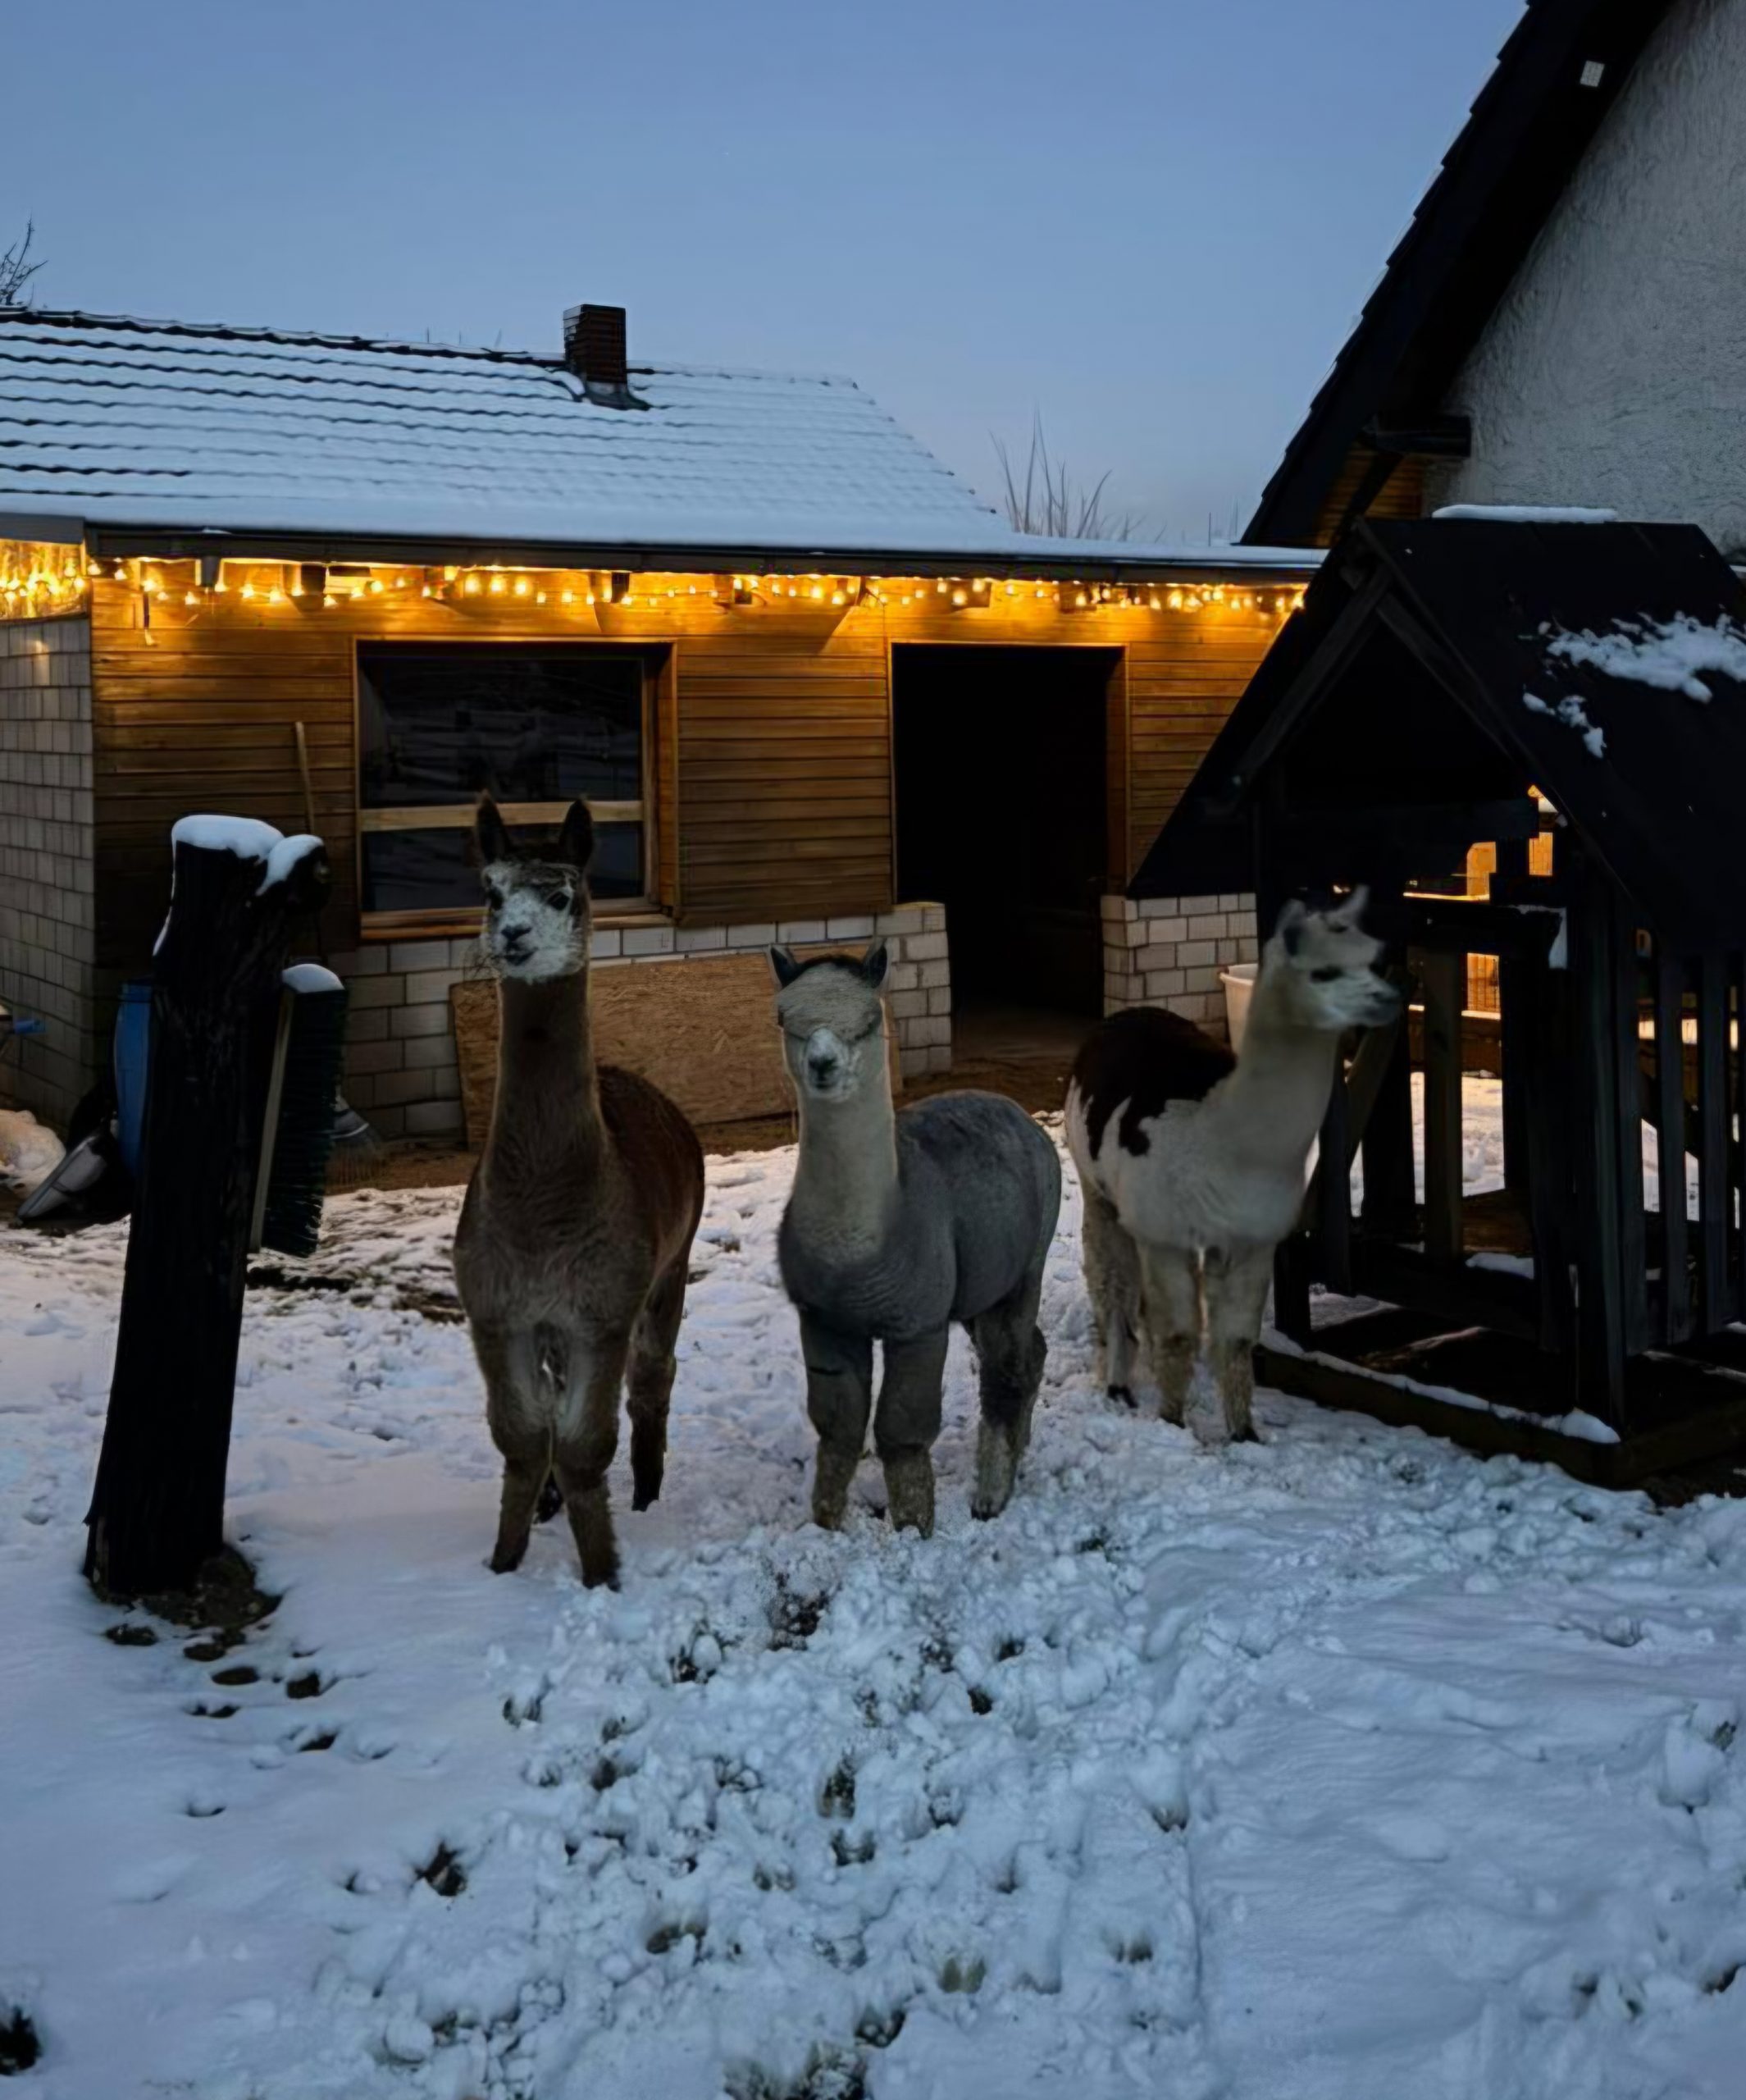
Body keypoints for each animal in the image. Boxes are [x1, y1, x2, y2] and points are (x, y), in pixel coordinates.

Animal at [453, 797, 704, 1589]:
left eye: (562, 894)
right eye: (491, 891)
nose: (513, 936)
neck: (543, 1211)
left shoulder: (603, 1310)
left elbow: (586, 1441)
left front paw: (603, 1573)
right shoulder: (497, 1312)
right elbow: (523, 1437)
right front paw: (503, 1563)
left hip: (669, 1266)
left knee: (653, 1377)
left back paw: (648, 1491)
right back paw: (550, 1503)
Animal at [769, 940, 1062, 1536]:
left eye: (868, 1018)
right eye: (785, 1018)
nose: (822, 1064)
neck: (859, 1248)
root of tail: (1017, 1112)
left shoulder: (918, 1323)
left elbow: (902, 1430)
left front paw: (913, 1526)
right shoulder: (824, 1320)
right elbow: (838, 1425)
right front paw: (826, 1525)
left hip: (1026, 1265)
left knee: (1007, 1368)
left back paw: (990, 1495)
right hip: (979, 1283)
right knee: (1031, 1353)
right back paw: (1019, 1451)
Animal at [1066, 892, 1400, 1446]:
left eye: (1374, 959)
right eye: (1323, 971)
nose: (1390, 1000)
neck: (1226, 1142)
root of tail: (1125, 1015)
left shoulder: (1251, 1239)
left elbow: (1237, 1341)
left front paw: (1244, 1432)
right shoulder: (1166, 1234)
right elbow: (1179, 1333)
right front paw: (1172, 1423)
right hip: (1098, 1187)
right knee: (1111, 1280)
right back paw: (1118, 1382)